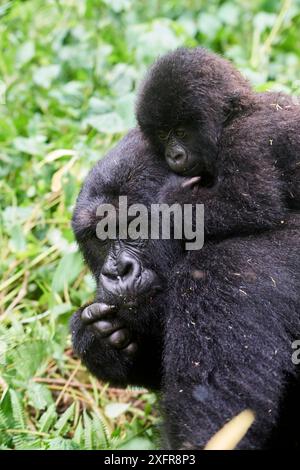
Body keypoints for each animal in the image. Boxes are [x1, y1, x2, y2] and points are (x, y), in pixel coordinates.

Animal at [71, 127, 300, 448]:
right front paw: (98, 339)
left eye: (135, 225)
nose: (116, 272)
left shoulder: (220, 280)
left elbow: (214, 432)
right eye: (99, 237)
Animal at [137, 45, 300, 218]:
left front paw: (174, 193)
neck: (235, 116)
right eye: (162, 135)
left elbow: (247, 205)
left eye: (181, 133)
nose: (174, 156)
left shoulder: (243, 142)